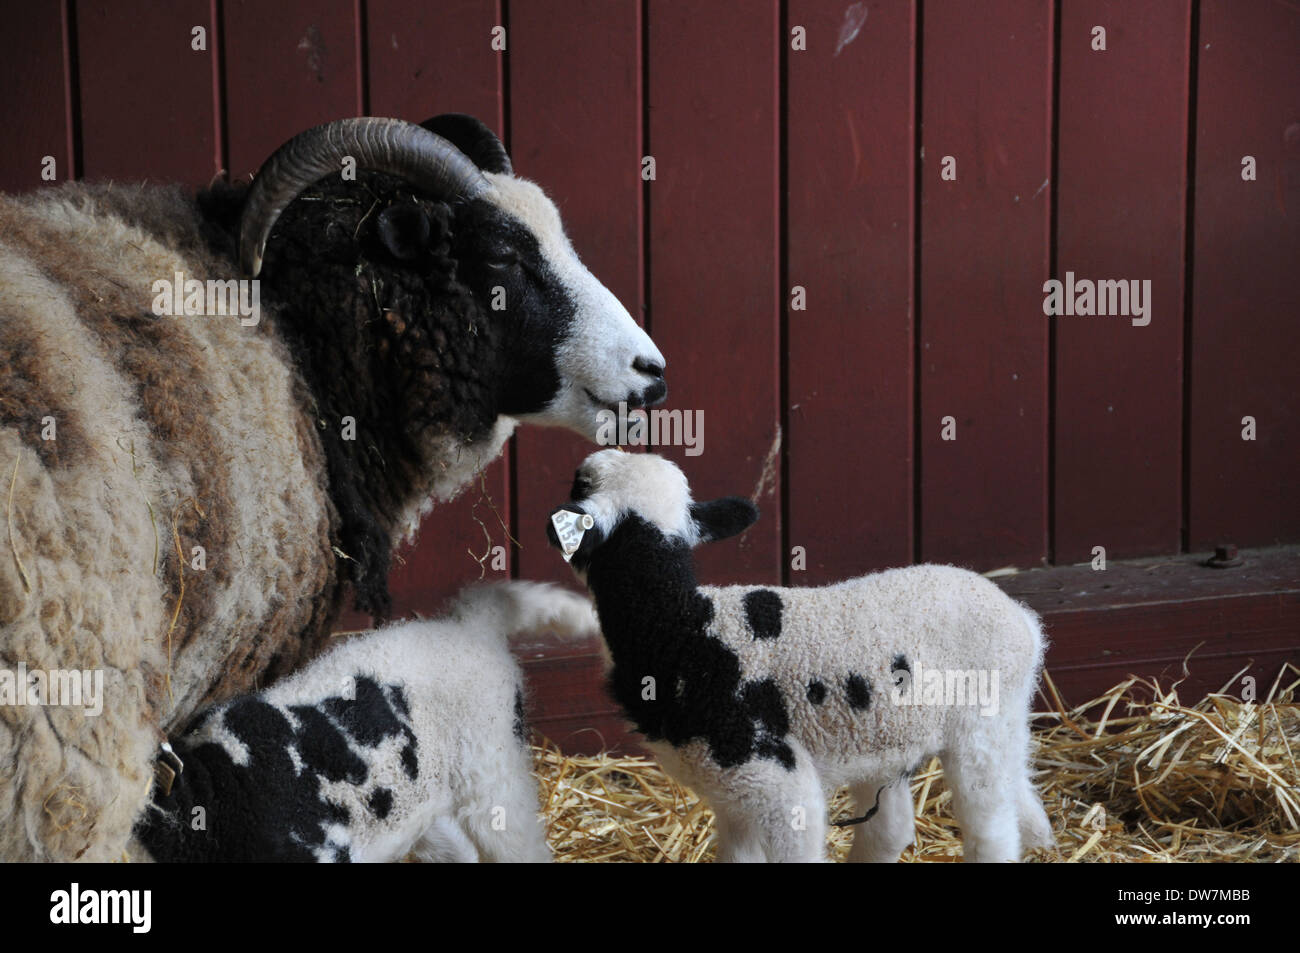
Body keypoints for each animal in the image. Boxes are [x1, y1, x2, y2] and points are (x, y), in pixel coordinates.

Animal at [546, 449, 1055, 863]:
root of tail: (1021, 616)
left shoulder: (775, 778)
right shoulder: (731, 793)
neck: (682, 627)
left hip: (979, 724)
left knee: (991, 828)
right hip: (934, 729)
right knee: (929, 818)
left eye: (578, 485)